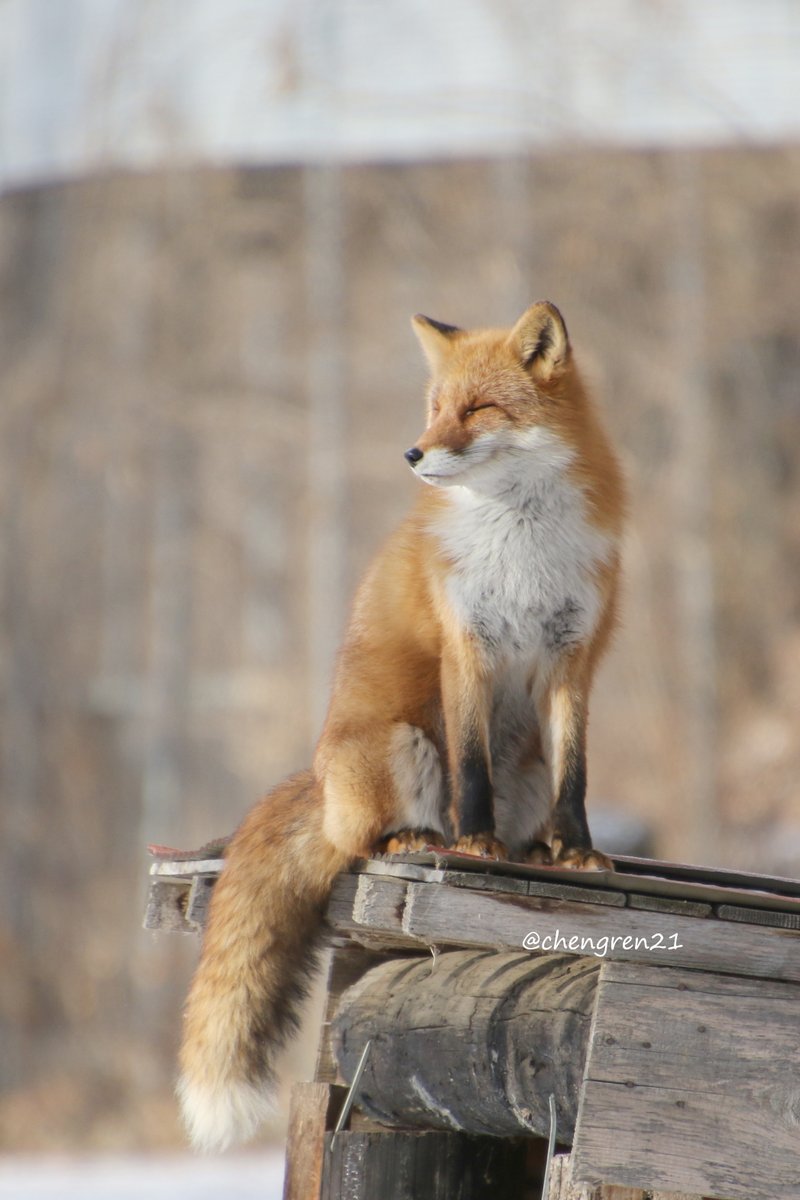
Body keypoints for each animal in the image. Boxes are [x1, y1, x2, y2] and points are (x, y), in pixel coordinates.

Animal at [178, 300, 628, 1152]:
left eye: (477, 409)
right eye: (435, 406)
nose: (414, 452)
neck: (523, 541)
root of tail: (318, 782)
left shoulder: (574, 659)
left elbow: (580, 772)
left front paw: (577, 850)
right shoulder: (467, 647)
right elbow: (470, 767)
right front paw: (475, 842)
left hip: (518, 766)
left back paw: (529, 848)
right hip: (398, 745)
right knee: (363, 840)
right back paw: (419, 838)